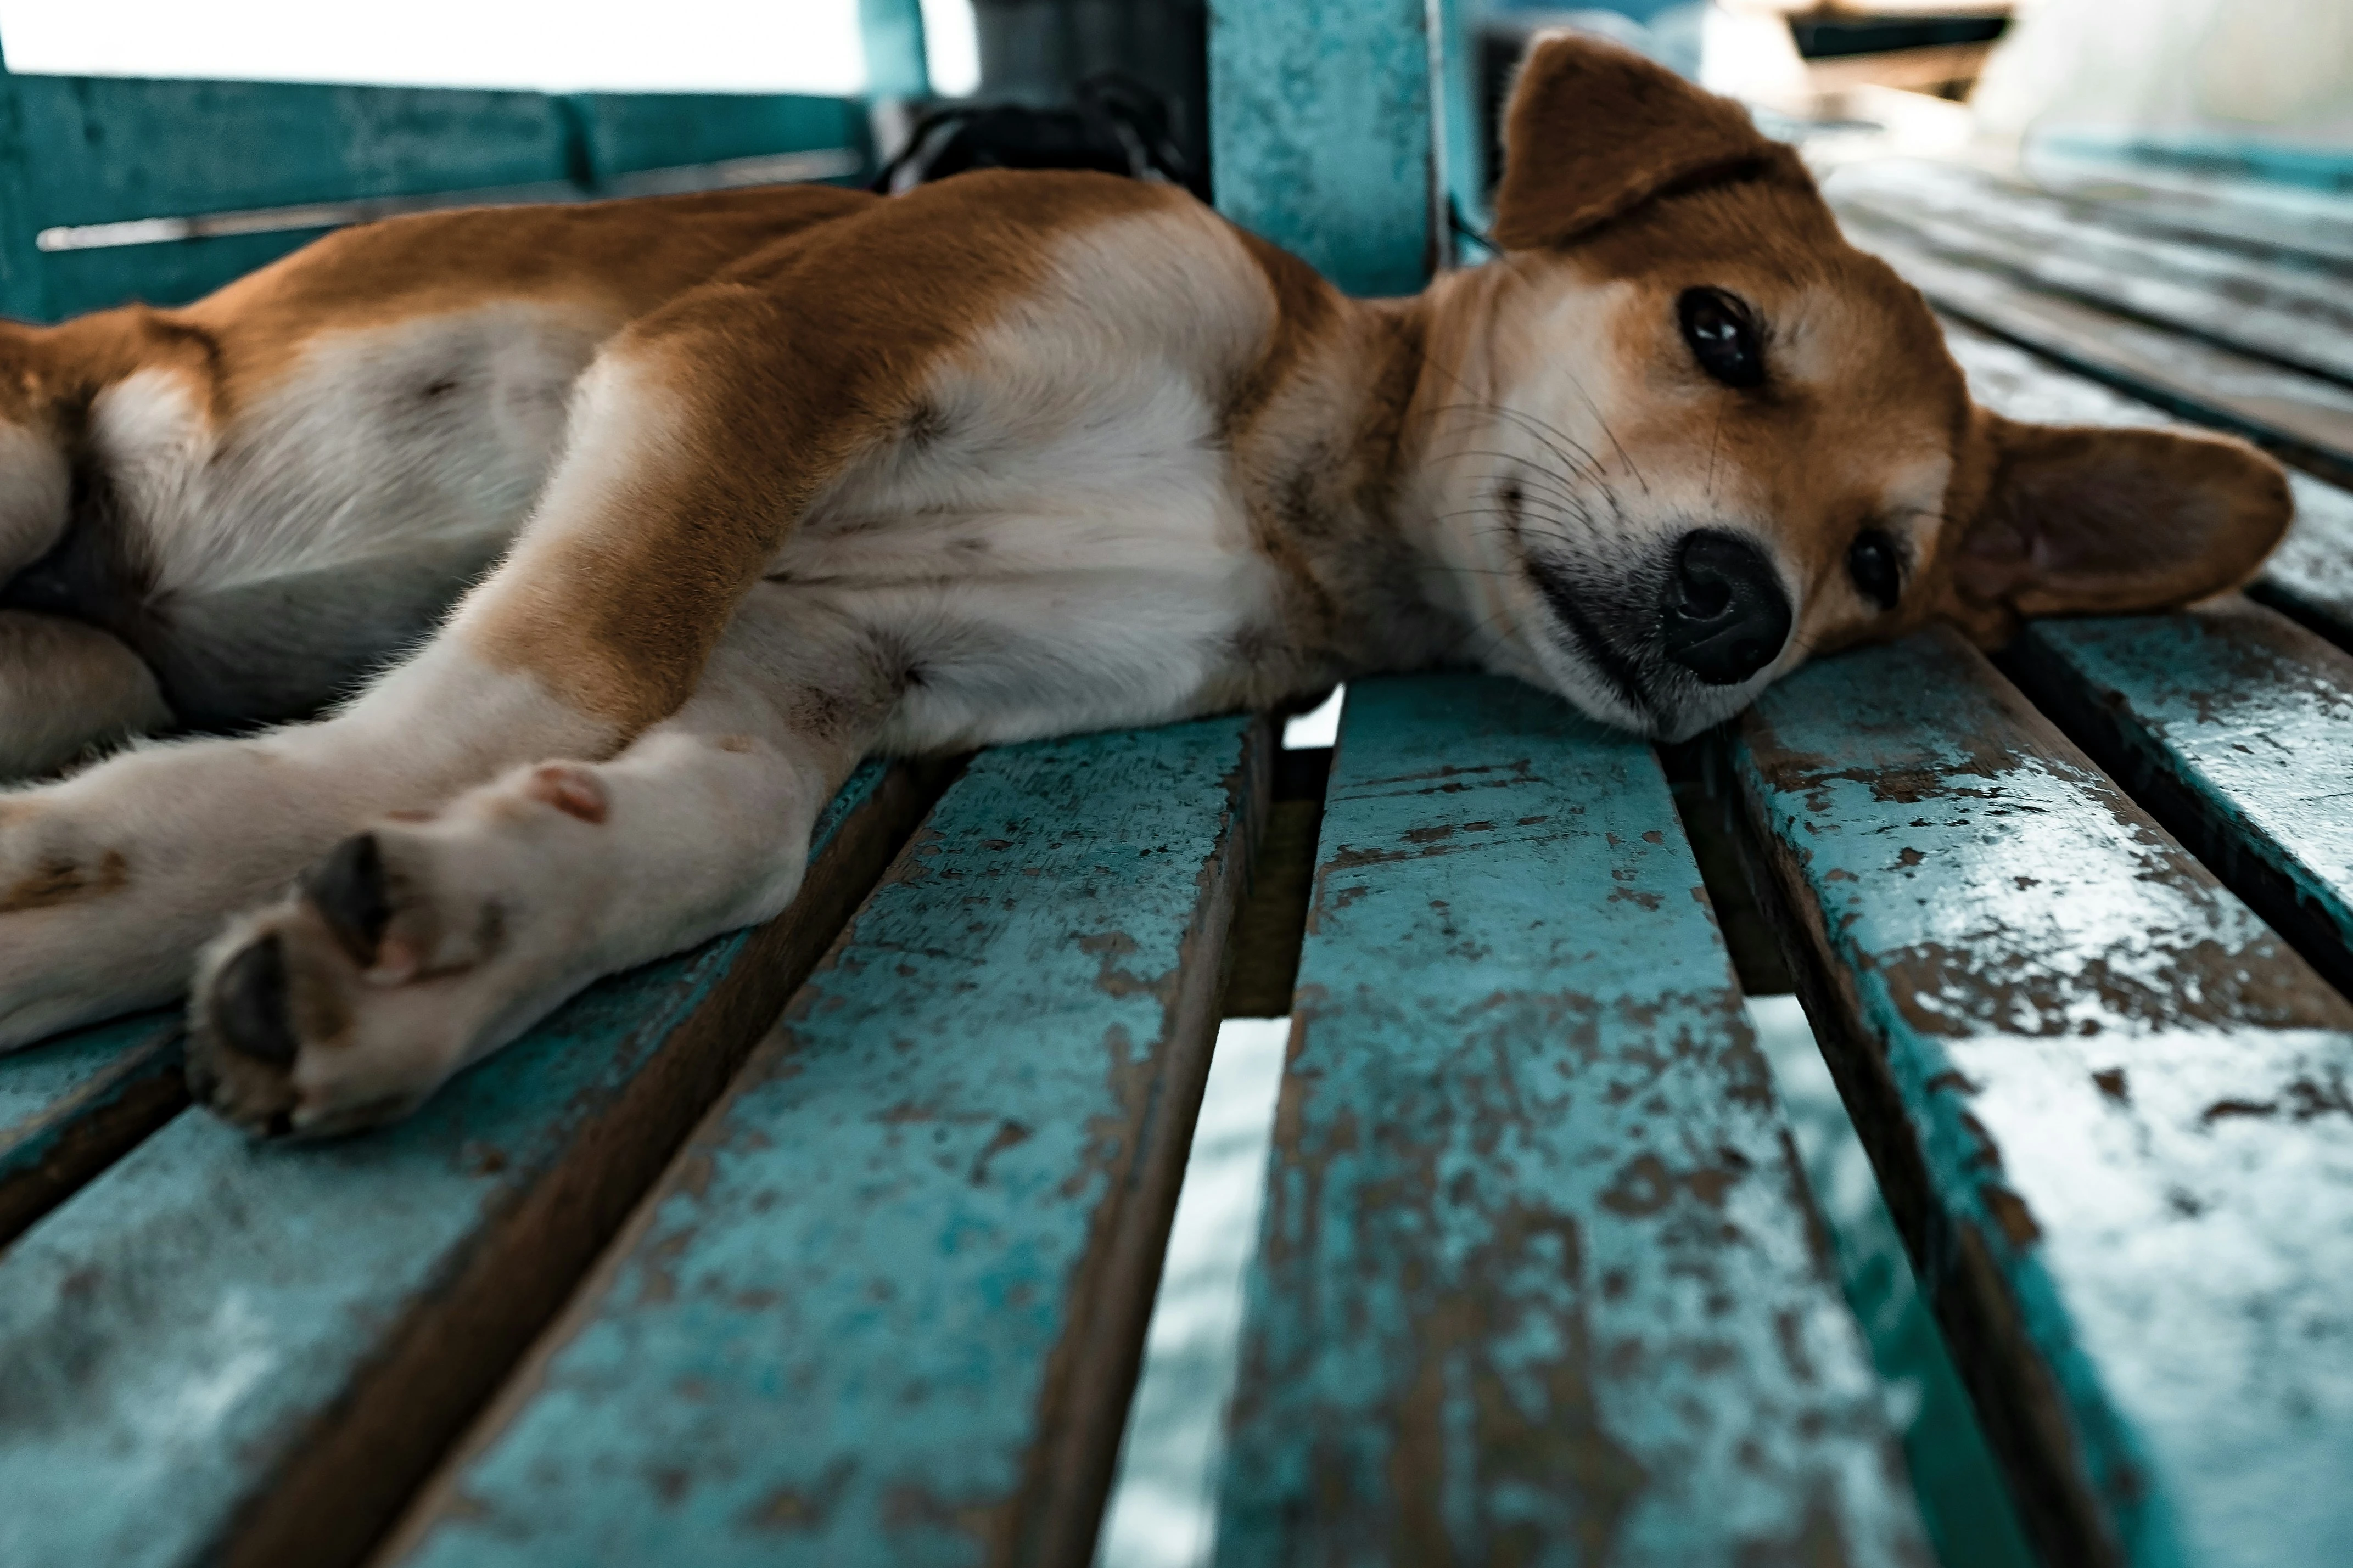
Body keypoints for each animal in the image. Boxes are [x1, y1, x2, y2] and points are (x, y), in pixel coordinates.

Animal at [0, 36, 2296, 1133]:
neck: (1274, 484)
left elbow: (711, 830)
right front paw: (164, 857)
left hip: (78, 644)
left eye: (1876, 562)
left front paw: (452, 932)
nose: (1740, 602)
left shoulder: (827, 657)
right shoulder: (764, 353)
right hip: (32, 449)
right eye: (1718, 330)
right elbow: (554, 664)